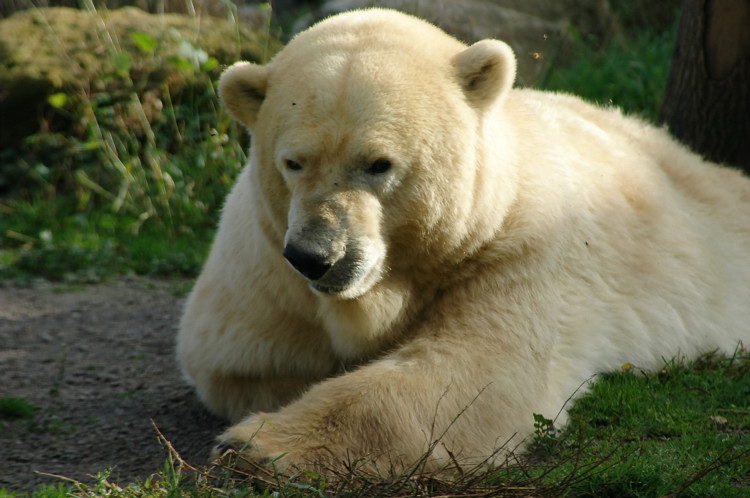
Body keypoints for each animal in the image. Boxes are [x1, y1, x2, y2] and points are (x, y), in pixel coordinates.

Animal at [178, 6, 750, 474]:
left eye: (378, 164)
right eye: (293, 162)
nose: (316, 256)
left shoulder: (516, 247)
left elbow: (471, 373)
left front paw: (255, 444)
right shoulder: (264, 270)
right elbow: (237, 357)